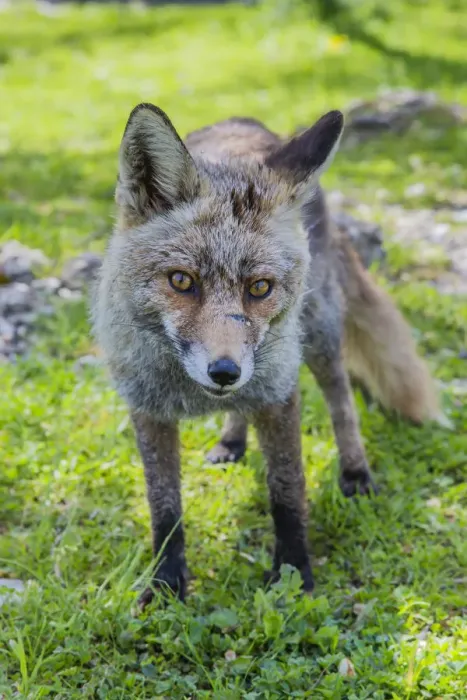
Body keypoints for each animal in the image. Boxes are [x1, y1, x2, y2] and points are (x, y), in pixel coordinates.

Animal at [92, 103, 441, 605]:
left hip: (318, 335)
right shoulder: (147, 409)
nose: (225, 372)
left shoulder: (278, 391)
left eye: (259, 288)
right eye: (181, 281)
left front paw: (294, 574)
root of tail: (246, 121)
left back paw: (355, 472)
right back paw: (232, 440)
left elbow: (287, 491)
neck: (192, 394)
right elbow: (164, 508)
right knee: (246, 412)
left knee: (342, 400)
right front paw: (166, 582)